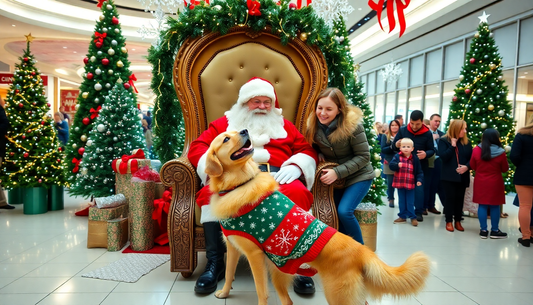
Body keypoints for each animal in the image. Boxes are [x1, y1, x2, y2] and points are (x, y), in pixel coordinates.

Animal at [204, 129, 428, 304]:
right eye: (226, 138)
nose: (245, 131)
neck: (238, 184)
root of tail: (363, 252)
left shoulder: (254, 255)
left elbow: (261, 292)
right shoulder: (233, 247)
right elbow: (229, 273)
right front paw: (224, 293)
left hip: (337, 296)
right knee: (288, 301)